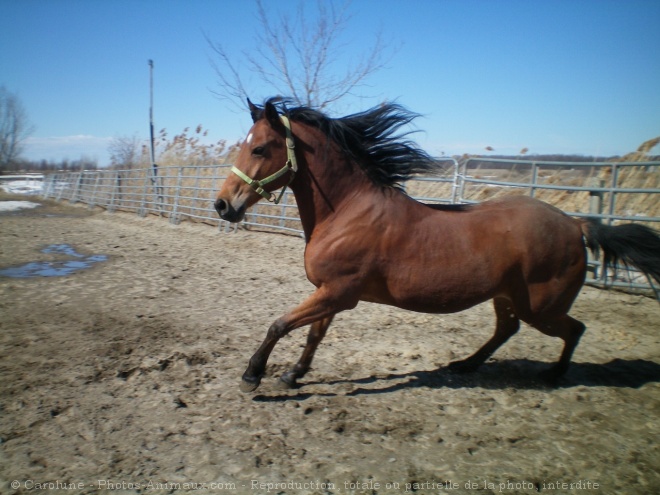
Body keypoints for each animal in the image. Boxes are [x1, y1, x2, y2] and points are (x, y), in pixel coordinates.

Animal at [215, 97, 660, 394]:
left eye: (259, 148)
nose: (222, 205)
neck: (347, 212)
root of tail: (574, 223)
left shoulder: (339, 292)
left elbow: (281, 324)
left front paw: (253, 375)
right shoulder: (331, 293)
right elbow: (312, 334)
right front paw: (293, 375)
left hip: (542, 308)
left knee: (574, 329)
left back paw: (553, 375)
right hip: (508, 297)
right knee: (507, 328)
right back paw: (464, 365)